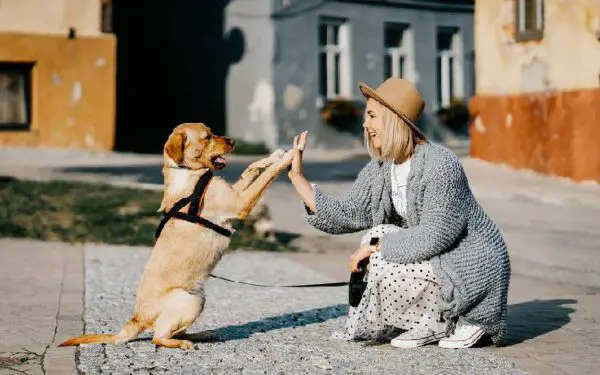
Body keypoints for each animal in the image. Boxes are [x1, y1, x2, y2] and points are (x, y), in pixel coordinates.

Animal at [59, 125, 310, 352]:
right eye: (207, 137)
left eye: (212, 131)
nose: (233, 141)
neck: (188, 173)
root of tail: (137, 318)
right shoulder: (240, 202)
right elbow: (266, 175)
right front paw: (290, 156)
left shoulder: (235, 192)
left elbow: (251, 168)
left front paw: (274, 155)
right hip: (189, 301)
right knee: (158, 337)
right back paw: (182, 343)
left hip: (199, 298)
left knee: (172, 331)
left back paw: (201, 334)